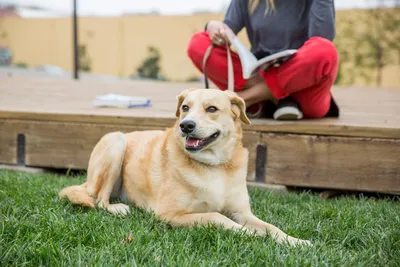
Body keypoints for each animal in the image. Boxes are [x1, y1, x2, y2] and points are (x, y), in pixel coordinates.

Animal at [58, 88, 310, 247]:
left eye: (211, 109)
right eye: (186, 107)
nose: (185, 125)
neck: (214, 167)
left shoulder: (242, 212)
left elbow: (271, 227)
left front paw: (295, 241)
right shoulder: (171, 215)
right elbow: (217, 217)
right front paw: (250, 234)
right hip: (116, 141)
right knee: (99, 199)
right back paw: (117, 208)